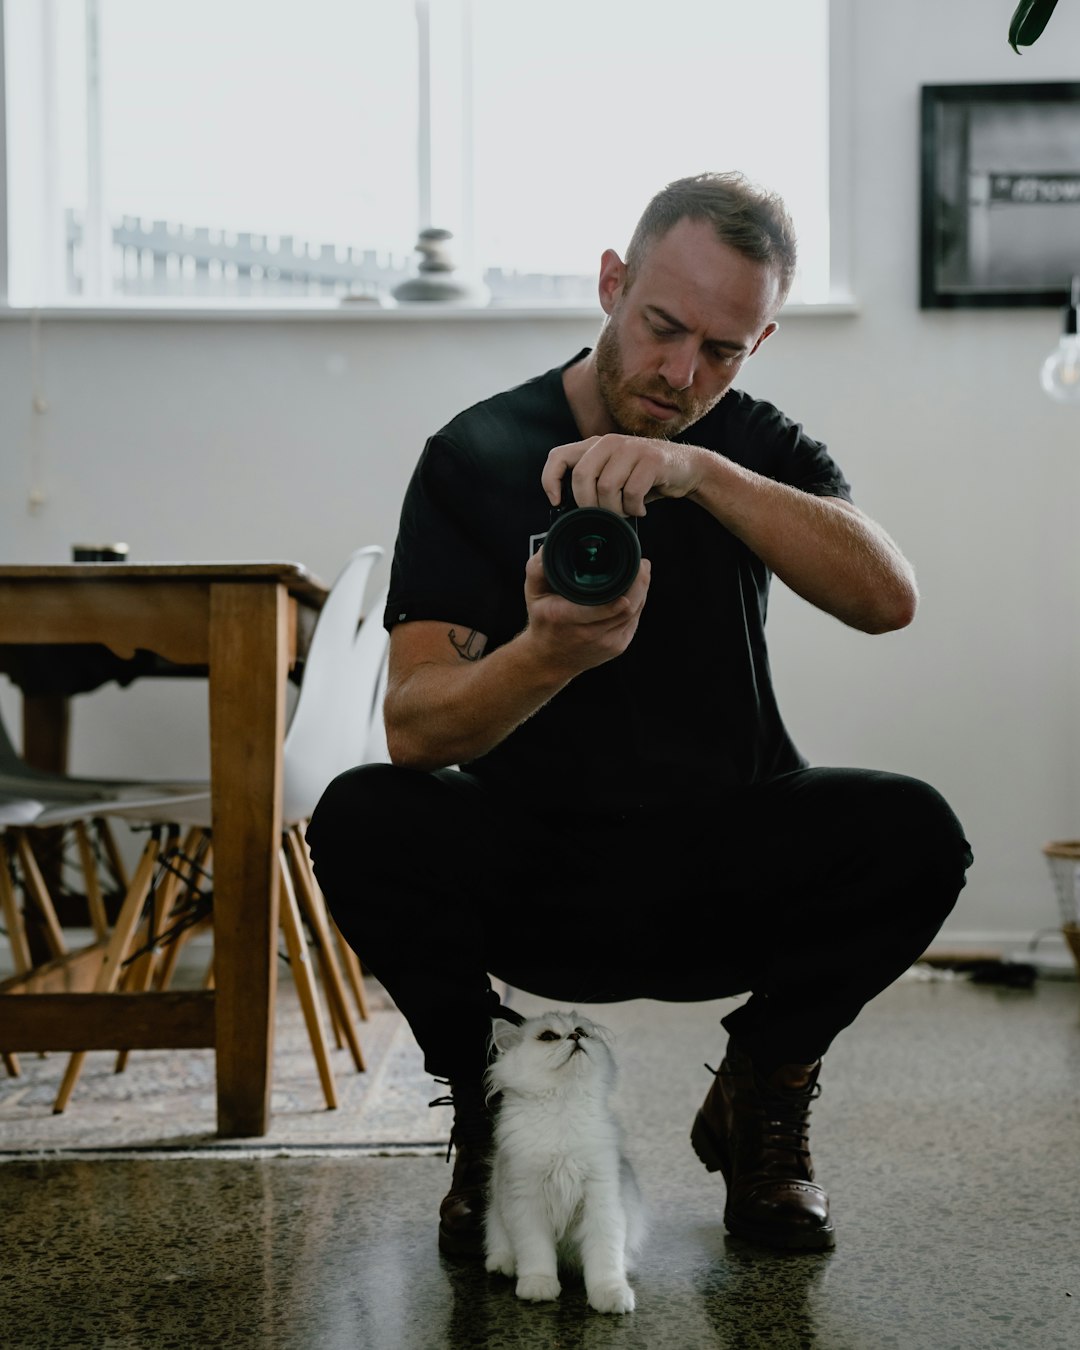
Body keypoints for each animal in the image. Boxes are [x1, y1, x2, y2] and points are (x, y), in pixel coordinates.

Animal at [480, 1009, 642, 1312]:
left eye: (582, 1031)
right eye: (548, 1037)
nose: (575, 1036)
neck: (563, 1104)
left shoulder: (601, 1198)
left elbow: (605, 1258)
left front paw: (611, 1296)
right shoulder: (526, 1200)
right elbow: (536, 1253)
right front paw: (538, 1288)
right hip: (496, 1213)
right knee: (500, 1245)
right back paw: (502, 1265)